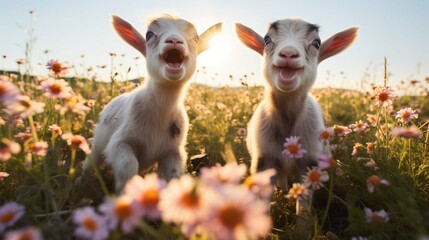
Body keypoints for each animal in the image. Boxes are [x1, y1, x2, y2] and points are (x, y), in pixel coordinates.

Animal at [83, 15, 222, 192]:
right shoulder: (119, 143)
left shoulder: (173, 151)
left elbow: (174, 175)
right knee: (91, 162)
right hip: (99, 142)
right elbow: (127, 166)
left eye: (196, 38)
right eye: (149, 35)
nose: (174, 40)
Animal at [234, 19, 358, 233]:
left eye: (316, 43)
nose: (289, 54)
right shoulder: (264, 160)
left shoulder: (310, 163)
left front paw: (302, 230)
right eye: (267, 39)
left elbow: (304, 205)